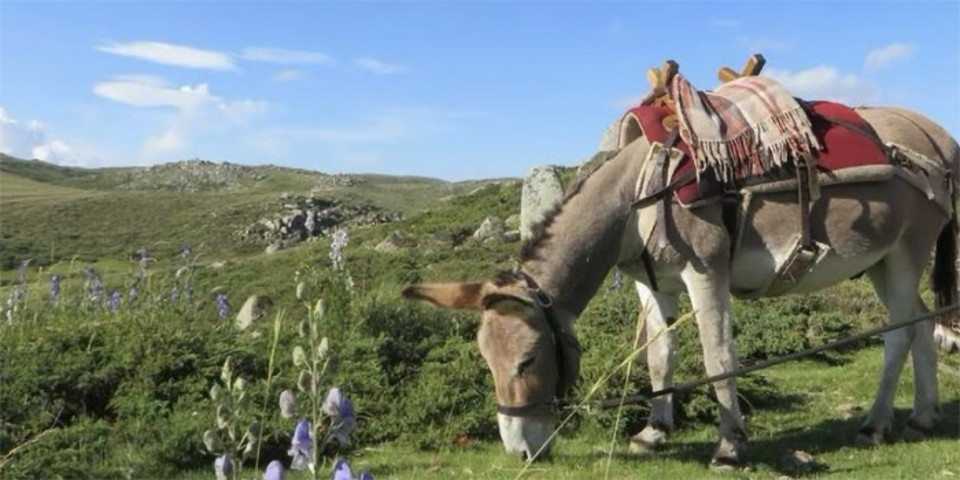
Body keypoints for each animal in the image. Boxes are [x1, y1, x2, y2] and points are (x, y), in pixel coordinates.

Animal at [403, 105, 959, 466]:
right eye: (487, 363)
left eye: (528, 360)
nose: (520, 451)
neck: (639, 193)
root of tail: (935, 135)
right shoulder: (654, 285)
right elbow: (660, 356)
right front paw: (655, 430)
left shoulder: (705, 273)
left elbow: (717, 358)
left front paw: (730, 446)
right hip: (880, 261)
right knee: (920, 323)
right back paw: (924, 417)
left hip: (907, 252)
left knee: (897, 335)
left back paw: (876, 423)